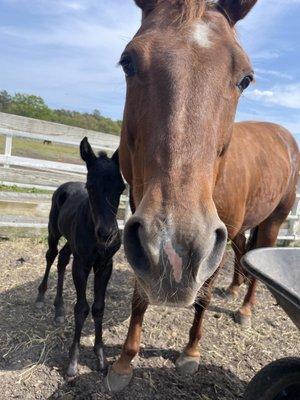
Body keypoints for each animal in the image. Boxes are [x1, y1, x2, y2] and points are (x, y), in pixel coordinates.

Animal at [34, 138, 124, 378]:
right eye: (90, 186)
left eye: (121, 188)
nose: (107, 234)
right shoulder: (82, 264)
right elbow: (82, 308)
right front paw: (73, 363)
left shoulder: (105, 265)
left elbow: (99, 307)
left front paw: (101, 357)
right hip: (54, 231)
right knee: (51, 256)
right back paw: (41, 296)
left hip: (70, 242)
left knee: (63, 259)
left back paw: (59, 309)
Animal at [104, 0, 298, 392]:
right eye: (128, 61)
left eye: (245, 78)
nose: (175, 251)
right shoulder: (139, 231)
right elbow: (139, 295)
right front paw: (123, 363)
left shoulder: (212, 245)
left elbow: (204, 296)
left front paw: (191, 353)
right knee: (244, 254)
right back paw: (234, 289)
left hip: (274, 219)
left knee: (257, 259)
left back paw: (244, 308)